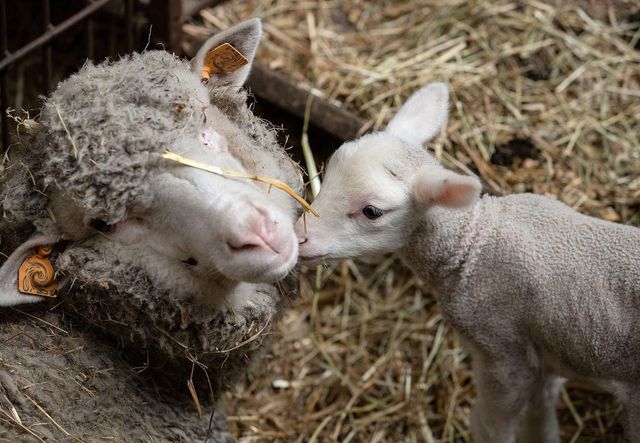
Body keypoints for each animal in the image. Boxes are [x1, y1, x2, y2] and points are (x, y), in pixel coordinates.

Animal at [296, 82, 640, 443]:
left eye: (372, 211)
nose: (299, 237)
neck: (473, 241)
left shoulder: (501, 350)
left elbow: (490, 424)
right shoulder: (543, 351)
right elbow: (541, 408)